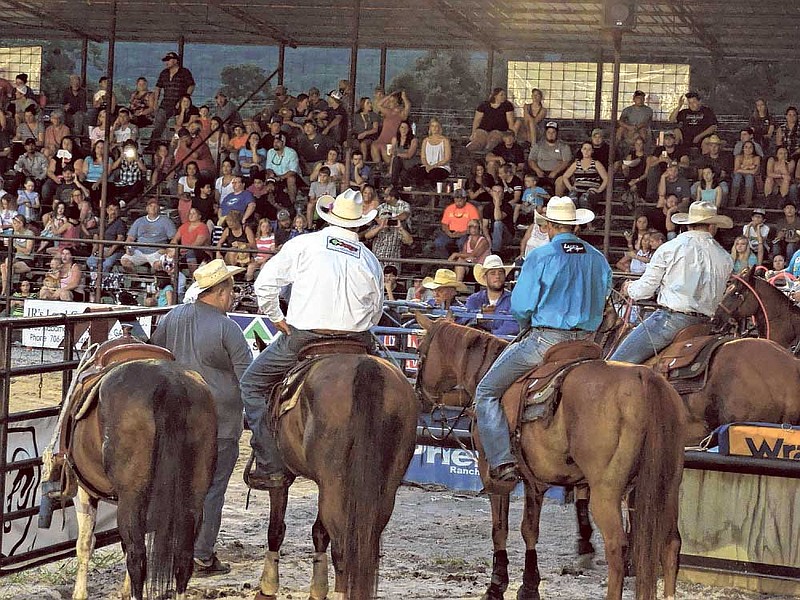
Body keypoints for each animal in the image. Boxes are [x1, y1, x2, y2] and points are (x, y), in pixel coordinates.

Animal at [55, 344, 219, 600]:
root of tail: (169, 384)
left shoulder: (83, 491)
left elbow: (85, 542)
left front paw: (80, 593)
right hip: (193, 495)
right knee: (182, 557)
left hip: (131, 496)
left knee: (137, 556)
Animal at [255, 352, 418, 600]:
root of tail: (366, 366)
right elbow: (320, 532)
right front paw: (317, 589)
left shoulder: (283, 477)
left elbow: (276, 528)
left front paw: (268, 588)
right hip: (383, 487)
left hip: (334, 481)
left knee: (342, 546)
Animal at [416, 314, 684, 600]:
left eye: (420, 352)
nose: (419, 397)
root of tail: (644, 377)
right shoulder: (536, 482)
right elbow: (529, 530)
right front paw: (529, 586)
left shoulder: (493, 476)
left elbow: (500, 529)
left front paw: (496, 586)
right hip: (667, 487)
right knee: (670, 543)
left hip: (607, 492)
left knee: (617, 548)